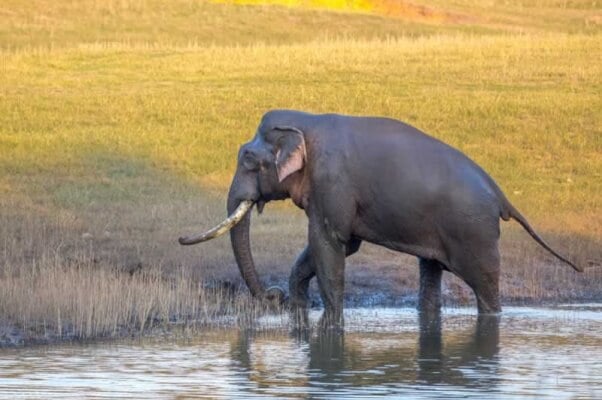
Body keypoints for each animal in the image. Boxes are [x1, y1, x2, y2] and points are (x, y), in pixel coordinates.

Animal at [177, 108, 576, 324]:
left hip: (473, 233)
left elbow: (331, 244)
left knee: (484, 285)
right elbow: (331, 247)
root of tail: (500, 194)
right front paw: (300, 314)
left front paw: (331, 324)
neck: (306, 122)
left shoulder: (332, 183)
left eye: (247, 159)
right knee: (430, 273)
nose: (274, 298)